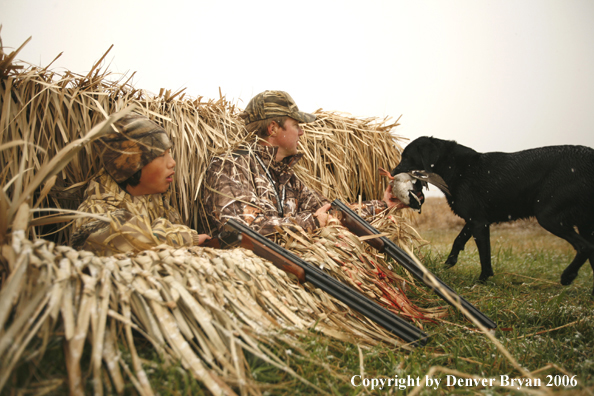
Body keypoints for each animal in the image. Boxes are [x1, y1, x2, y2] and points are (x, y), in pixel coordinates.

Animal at [388, 136, 592, 290]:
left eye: (406, 157)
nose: (392, 172)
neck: (455, 168)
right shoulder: (475, 219)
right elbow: (458, 240)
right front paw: (447, 265)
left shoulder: (479, 222)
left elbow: (484, 255)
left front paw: (481, 281)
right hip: (584, 223)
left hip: (548, 216)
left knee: (585, 247)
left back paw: (567, 276)